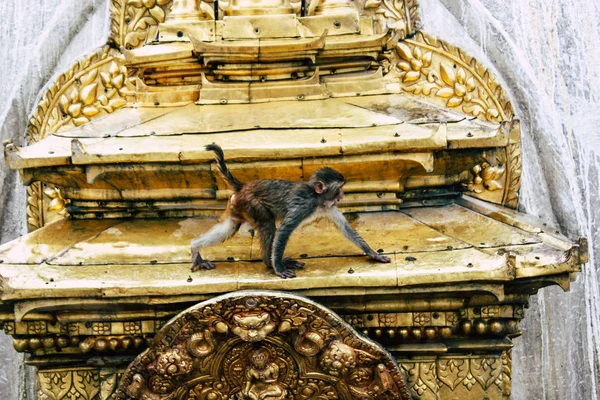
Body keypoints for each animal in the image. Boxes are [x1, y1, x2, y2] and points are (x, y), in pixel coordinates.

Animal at [190, 144, 392, 278]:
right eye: (340, 187)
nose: (343, 194)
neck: (318, 199)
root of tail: (243, 186)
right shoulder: (305, 205)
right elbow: (285, 229)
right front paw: (278, 267)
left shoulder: (328, 206)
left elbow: (344, 227)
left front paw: (373, 254)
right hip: (250, 203)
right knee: (267, 224)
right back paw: (269, 262)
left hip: (236, 206)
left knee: (229, 228)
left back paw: (195, 246)